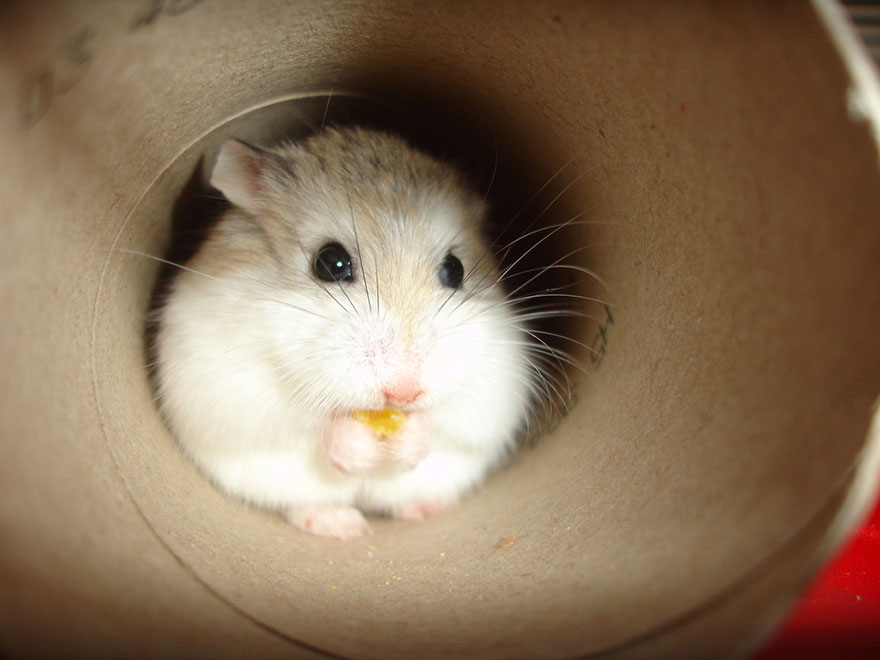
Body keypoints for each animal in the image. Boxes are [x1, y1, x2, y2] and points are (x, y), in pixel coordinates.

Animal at [155, 127, 534, 539]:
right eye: (331, 263)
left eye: (455, 270)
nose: (404, 394)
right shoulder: (230, 386)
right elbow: (308, 422)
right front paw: (354, 448)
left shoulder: (496, 381)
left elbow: (445, 419)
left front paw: (407, 439)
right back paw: (345, 526)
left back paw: (422, 509)